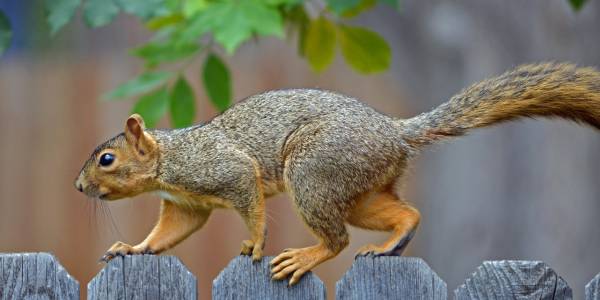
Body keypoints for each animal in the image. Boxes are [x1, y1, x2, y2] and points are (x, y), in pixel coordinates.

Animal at [75, 61, 600, 286]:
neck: (170, 159)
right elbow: (165, 235)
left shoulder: (226, 171)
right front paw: (130, 248)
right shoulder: (186, 206)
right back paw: (391, 245)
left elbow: (252, 206)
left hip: (313, 173)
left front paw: (257, 245)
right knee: (404, 214)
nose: (78, 186)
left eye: (107, 159)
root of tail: (393, 132)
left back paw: (304, 257)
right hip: (358, 190)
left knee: (337, 240)